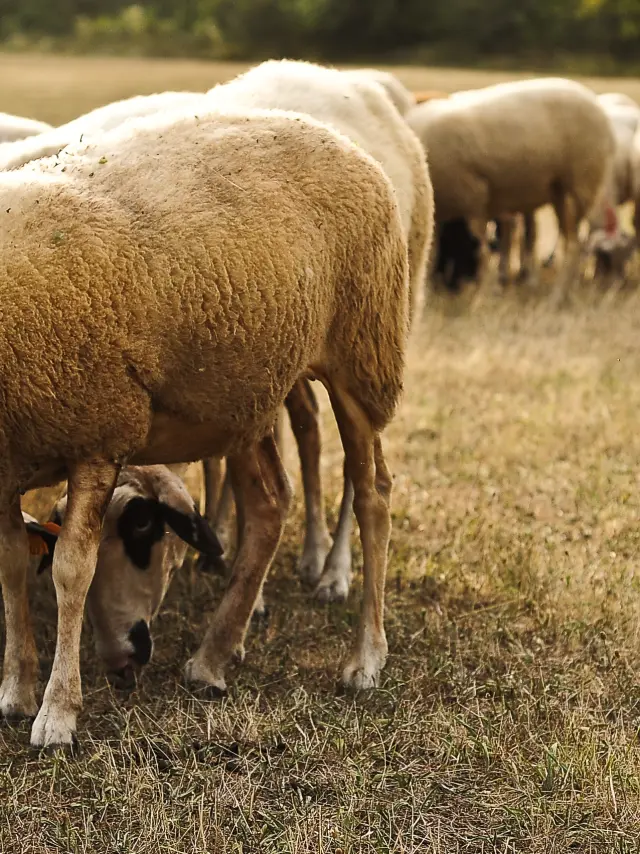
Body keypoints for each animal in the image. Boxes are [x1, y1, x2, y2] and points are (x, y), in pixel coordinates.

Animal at [0, 103, 409, 748]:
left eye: (144, 531)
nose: (125, 660)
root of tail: (333, 135)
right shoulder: (9, 459)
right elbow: (13, 564)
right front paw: (16, 689)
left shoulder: (98, 431)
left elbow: (69, 571)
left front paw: (57, 714)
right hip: (245, 390)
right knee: (269, 503)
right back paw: (213, 657)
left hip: (361, 353)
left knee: (372, 496)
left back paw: (364, 656)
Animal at [408, 78, 617, 290]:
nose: (452, 286)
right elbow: (431, 255)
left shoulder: (474, 198)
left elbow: (482, 253)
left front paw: (483, 291)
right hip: (559, 191)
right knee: (572, 243)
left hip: (581, 185)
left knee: (574, 246)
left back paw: (558, 293)